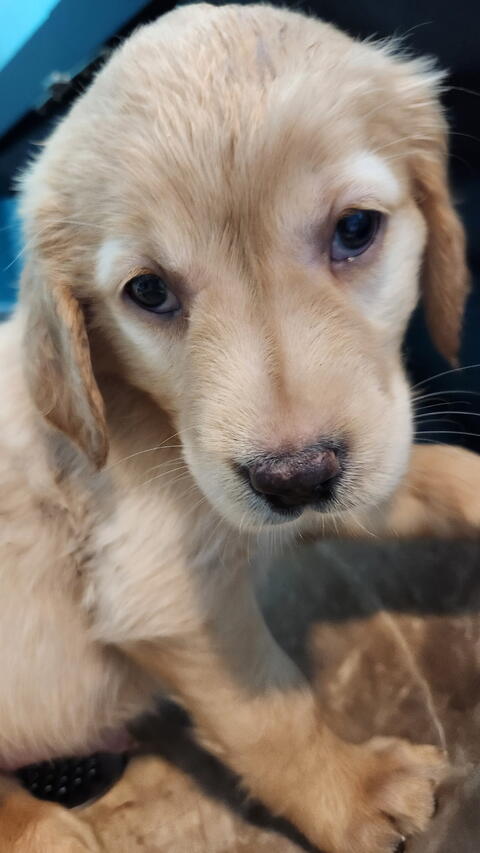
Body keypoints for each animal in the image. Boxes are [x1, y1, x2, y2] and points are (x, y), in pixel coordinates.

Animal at [1, 4, 480, 851]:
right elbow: (271, 710)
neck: (148, 417)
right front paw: (352, 791)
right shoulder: (164, 592)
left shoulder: (335, 486)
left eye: (355, 229)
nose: (294, 477)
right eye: (148, 292)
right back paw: (43, 828)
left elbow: (442, 468)